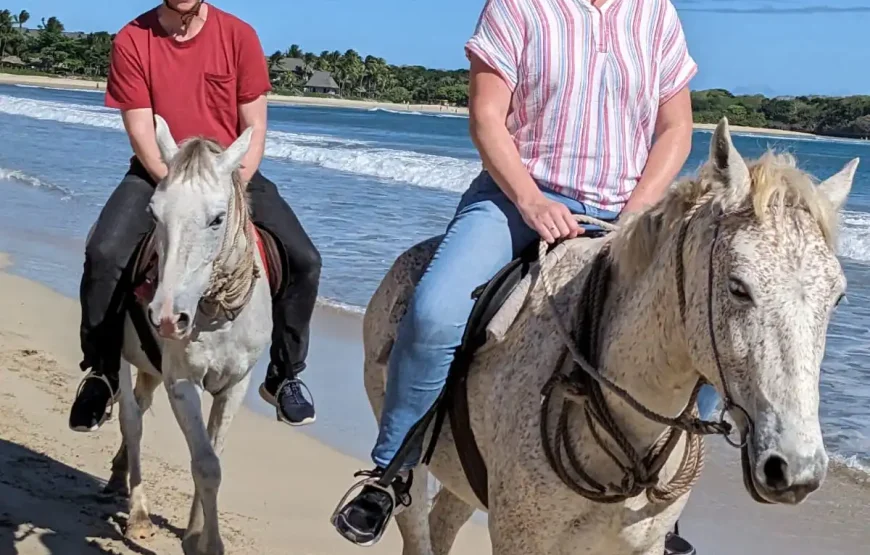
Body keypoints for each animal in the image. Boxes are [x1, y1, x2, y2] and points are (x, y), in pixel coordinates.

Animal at [98, 115, 272, 555]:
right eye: (153, 213)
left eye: (217, 218)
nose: (165, 318)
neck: (216, 315)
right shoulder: (181, 382)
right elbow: (205, 464)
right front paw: (204, 543)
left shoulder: (236, 385)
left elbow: (213, 452)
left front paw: (196, 532)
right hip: (124, 359)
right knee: (132, 420)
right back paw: (138, 514)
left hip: (149, 368)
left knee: (139, 407)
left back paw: (117, 477)